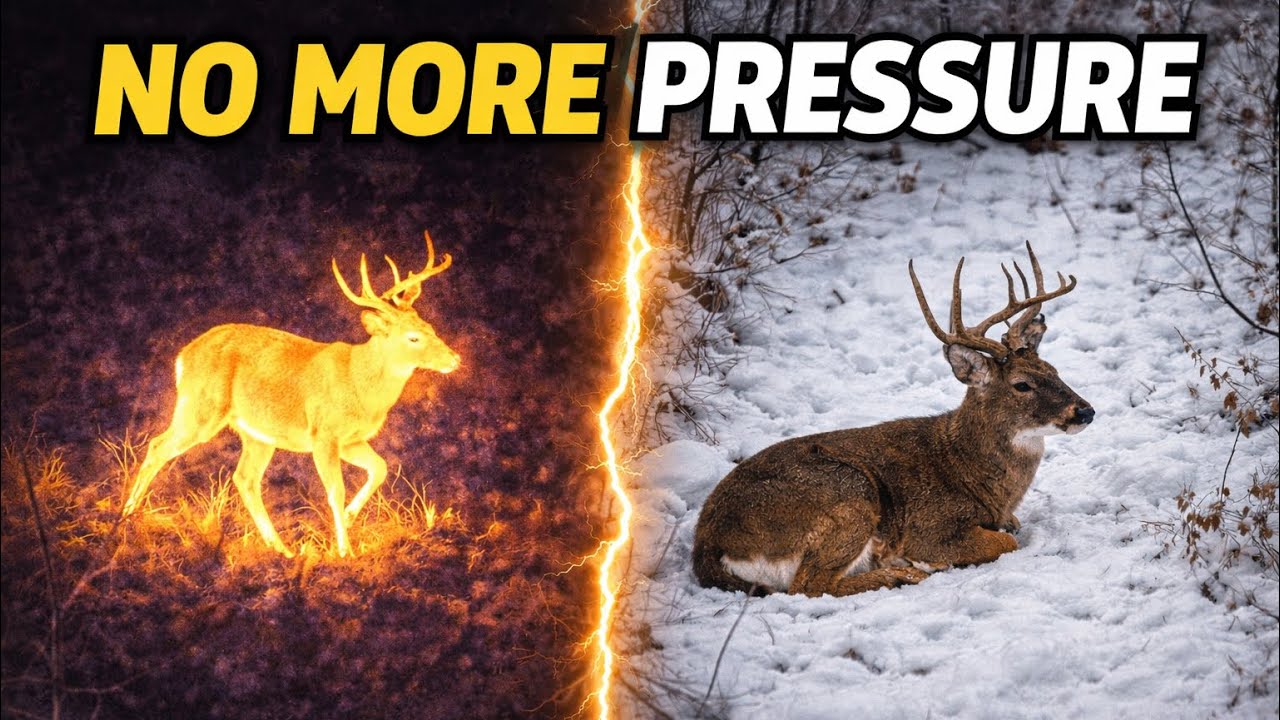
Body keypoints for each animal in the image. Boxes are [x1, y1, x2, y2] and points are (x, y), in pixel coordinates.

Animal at [121, 231, 461, 558]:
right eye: (413, 337)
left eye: (430, 327)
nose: (455, 359)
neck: (359, 382)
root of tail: (183, 357)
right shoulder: (324, 434)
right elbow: (335, 490)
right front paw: (344, 551)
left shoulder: (350, 440)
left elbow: (380, 467)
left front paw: (349, 518)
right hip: (202, 409)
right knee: (158, 446)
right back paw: (126, 517)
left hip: (256, 433)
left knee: (245, 478)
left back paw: (281, 549)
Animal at [693, 242, 1094, 596]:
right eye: (1022, 384)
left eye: (1053, 370)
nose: (1085, 410)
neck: (973, 473)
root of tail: (707, 547)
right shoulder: (931, 528)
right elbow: (1005, 542)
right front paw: (926, 563)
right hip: (847, 495)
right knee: (808, 585)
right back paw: (902, 575)